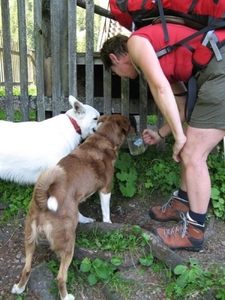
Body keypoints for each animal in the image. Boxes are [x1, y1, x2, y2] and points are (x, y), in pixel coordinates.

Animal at [11, 114, 130, 300]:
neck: (103, 137)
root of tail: (43, 202)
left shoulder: (77, 198)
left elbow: (79, 211)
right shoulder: (105, 189)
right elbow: (106, 211)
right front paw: (108, 223)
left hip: (29, 238)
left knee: (27, 268)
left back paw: (19, 288)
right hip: (68, 244)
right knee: (61, 277)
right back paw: (66, 296)